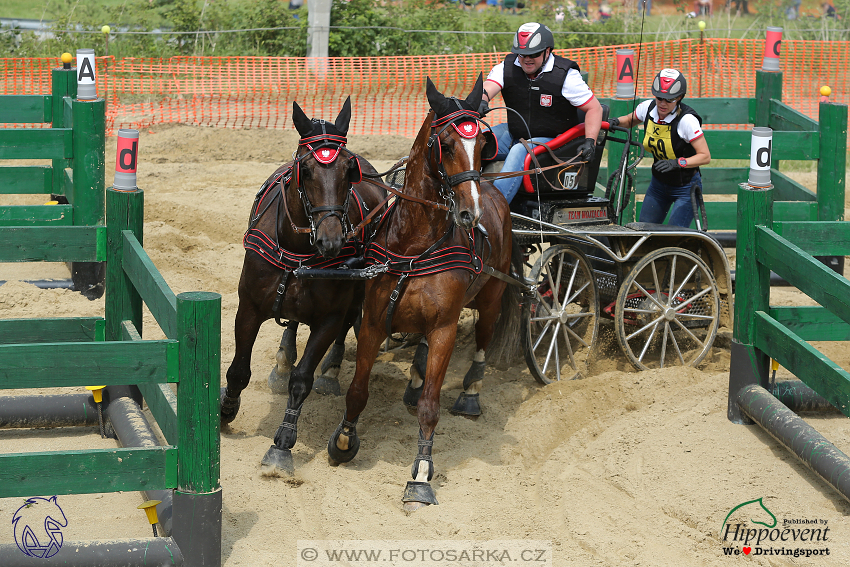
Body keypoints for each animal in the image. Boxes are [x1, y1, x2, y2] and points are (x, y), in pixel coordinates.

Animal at [222, 98, 388, 474]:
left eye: (348, 170)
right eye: (307, 170)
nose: (331, 241)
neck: (298, 249)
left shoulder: (328, 319)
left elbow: (302, 380)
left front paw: (282, 444)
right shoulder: (248, 307)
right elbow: (239, 370)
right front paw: (225, 410)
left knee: (345, 325)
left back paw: (331, 371)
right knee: (292, 325)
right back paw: (283, 359)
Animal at [328, 74, 520, 510]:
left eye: (482, 145)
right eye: (444, 143)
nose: (469, 214)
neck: (416, 244)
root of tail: (493, 192)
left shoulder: (445, 328)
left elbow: (431, 410)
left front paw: (420, 475)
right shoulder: (373, 322)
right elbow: (357, 390)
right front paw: (344, 441)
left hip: (491, 298)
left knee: (482, 341)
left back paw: (470, 393)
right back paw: (414, 380)